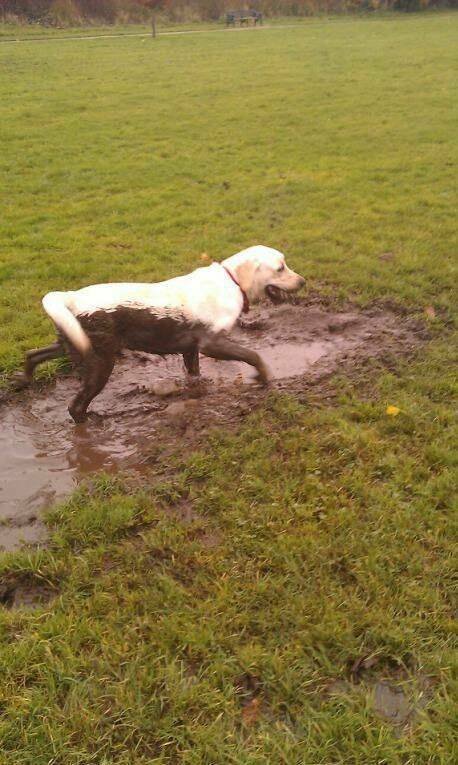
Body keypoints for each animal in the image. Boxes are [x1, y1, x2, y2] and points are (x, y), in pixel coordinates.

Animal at [16, 245, 304, 420]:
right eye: (280, 268)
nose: (302, 281)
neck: (232, 281)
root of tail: (70, 296)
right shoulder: (211, 343)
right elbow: (252, 355)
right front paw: (264, 377)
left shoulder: (191, 348)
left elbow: (195, 374)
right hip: (100, 361)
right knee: (75, 406)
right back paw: (93, 420)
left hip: (71, 342)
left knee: (32, 354)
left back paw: (25, 380)